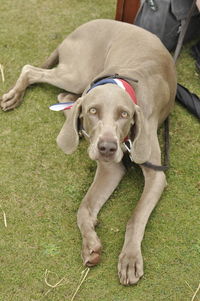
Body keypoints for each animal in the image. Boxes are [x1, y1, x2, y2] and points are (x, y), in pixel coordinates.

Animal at [1, 18, 177, 284]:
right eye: (94, 111)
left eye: (124, 114)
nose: (107, 148)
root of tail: (80, 28)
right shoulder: (110, 168)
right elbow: (83, 208)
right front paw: (91, 243)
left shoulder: (155, 173)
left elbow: (135, 216)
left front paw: (129, 259)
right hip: (77, 74)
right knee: (33, 71)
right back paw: (16, 96)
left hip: (78, 80)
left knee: (63, 96)